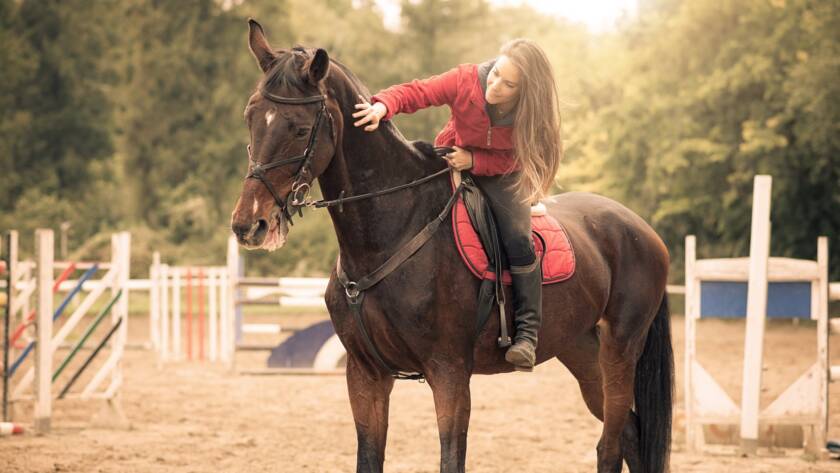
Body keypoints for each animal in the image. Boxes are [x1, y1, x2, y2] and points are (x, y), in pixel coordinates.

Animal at [230, 19, 676, 472]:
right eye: (251, 117)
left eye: (301, 129)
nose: (250, 224)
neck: (393, 231)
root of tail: (641, 230)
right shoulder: (365, 375)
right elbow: (369, 457)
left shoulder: (449, 373)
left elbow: (451, 457)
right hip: (582, 350)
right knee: (631, 435)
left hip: (620, 349)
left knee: (612, 444)